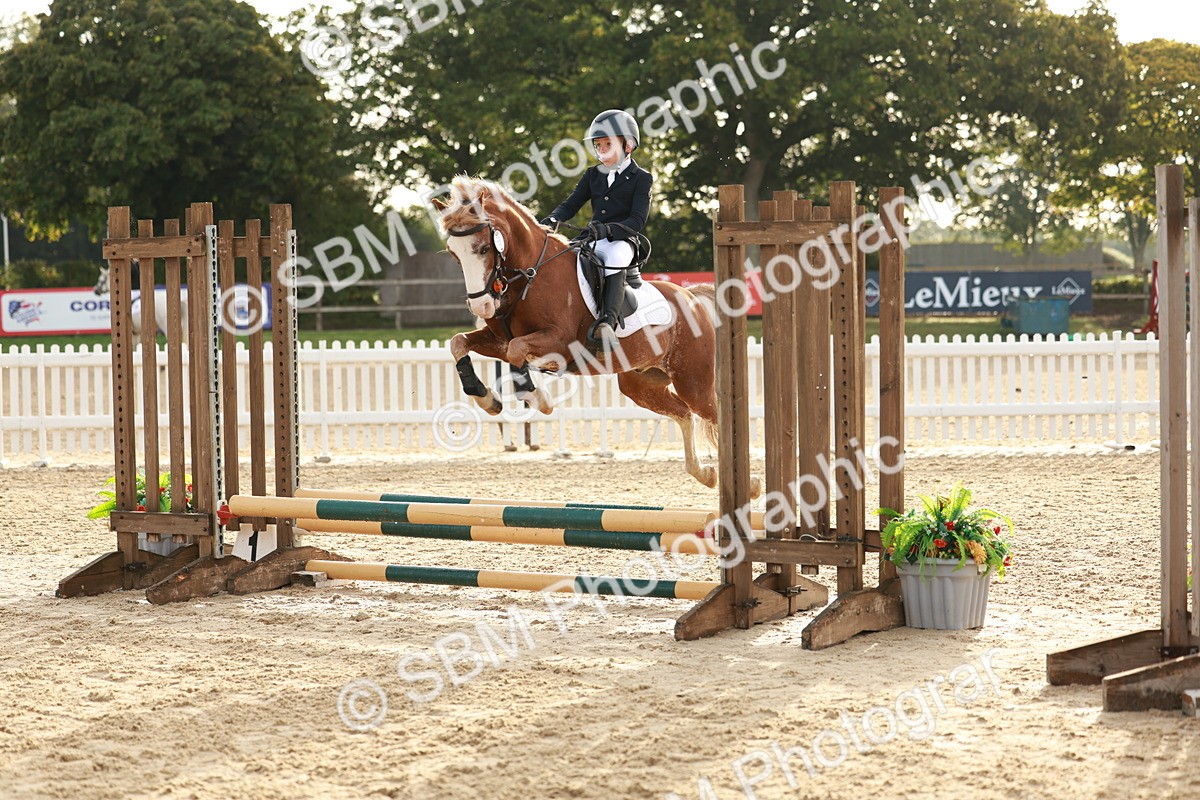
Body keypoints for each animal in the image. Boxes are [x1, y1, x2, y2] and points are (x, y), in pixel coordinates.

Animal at [435, 175, 759, 495]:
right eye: (454, 255)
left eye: (483, 248)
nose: (482, 305)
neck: (531, 276)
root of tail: (692, 298)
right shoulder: (498, 340)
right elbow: (460, 343)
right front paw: (487, 398)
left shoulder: (558, 342)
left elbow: (517, 349)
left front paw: (539, 399)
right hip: (641, 384)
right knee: (683, 414)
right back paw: (705, 474)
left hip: (693, 382)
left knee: (715, 417)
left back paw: (752, 484)